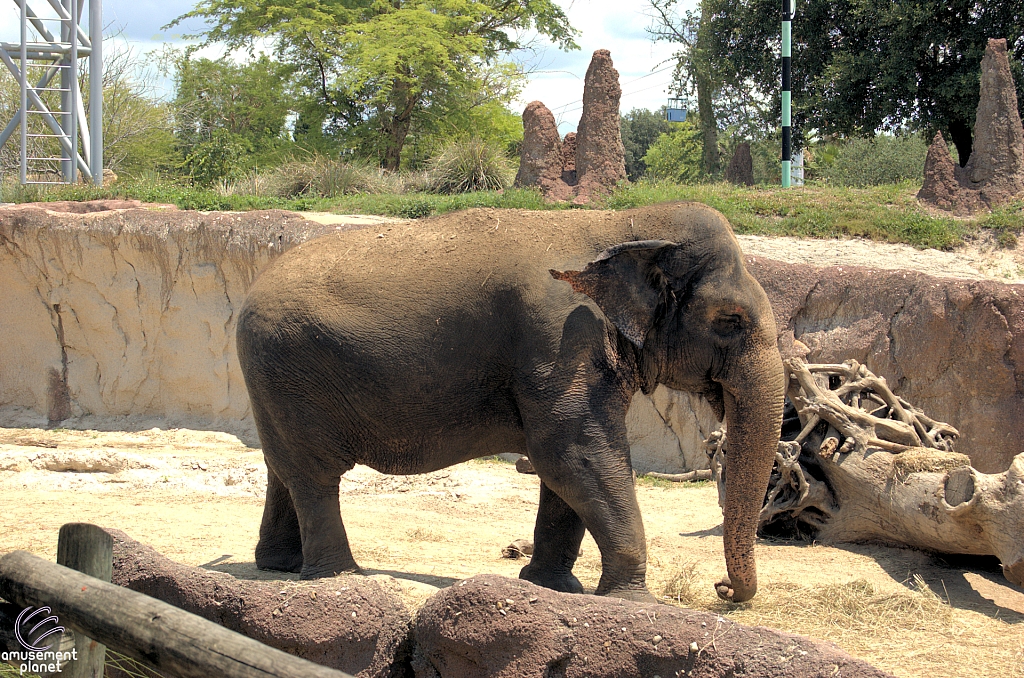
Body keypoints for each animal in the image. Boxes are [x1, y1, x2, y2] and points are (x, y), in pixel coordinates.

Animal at [237, 202, 782, 606]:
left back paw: (279, 565)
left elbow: (564, 467)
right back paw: (340, 577)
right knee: (315, 476)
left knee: (281, 469)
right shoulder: (562, 336)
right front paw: (635, 603)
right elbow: (572, 453)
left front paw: (553, 587)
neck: (622, 222)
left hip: (274, 381)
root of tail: (248, 294)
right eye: (730, 320)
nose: (722, 588)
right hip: (289, 370)